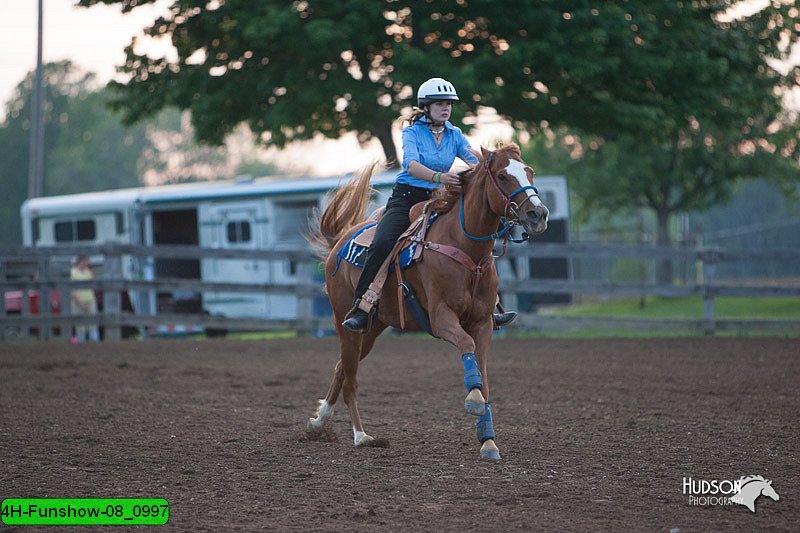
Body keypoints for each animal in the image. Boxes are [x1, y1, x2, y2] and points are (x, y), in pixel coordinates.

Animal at [306, 143, 552, 460]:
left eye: (529, 171)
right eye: (502, 175)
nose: (538, 214)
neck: (465, 250)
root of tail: (339, 242)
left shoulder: (482, 323)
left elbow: (484, 376)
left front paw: (488, 441)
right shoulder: (441, 318)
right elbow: (467, 348)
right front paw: (473, 400)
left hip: (372, 328)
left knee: (341, 368)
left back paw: (318, 421)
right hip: (345, 323)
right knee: (350, 378)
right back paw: (361, 436)